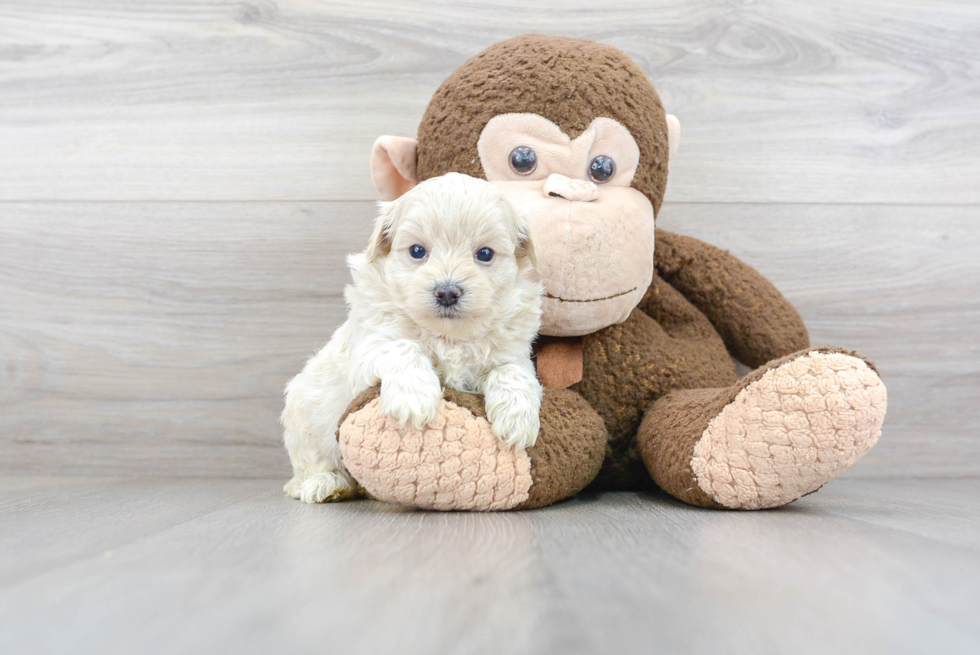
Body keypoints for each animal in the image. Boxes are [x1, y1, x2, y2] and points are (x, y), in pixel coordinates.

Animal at [282, 172, 544, 504]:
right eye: (417, 251)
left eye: (485, 254)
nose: (447, 292)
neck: (449, 336)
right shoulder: (371, 345)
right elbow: (403, 348)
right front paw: (413, 399)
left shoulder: (513, 354)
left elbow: (512, 373)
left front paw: (517, 419)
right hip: (302, 417)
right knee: (311, 466)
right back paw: (326, 484)